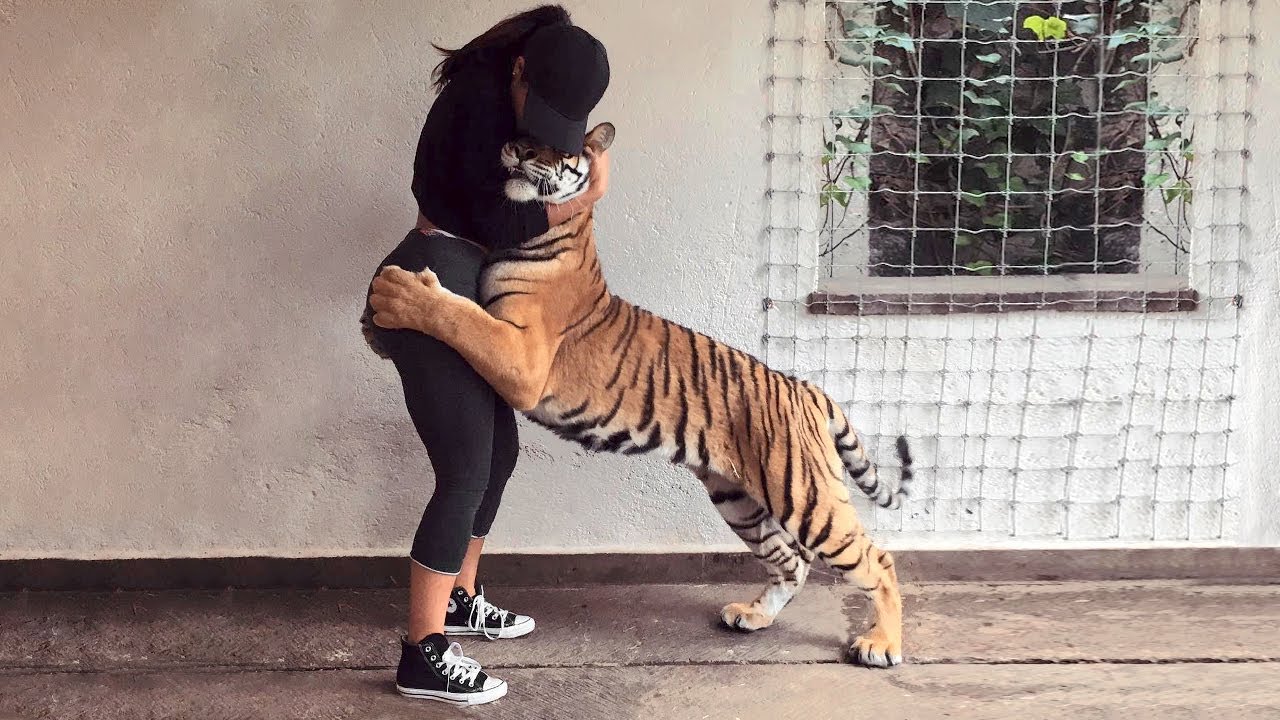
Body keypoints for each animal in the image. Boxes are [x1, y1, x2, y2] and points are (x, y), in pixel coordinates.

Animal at [366, 120, 916, 666]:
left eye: (554, 146)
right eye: (522, 132)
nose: (519, 150)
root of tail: (805, 388)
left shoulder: (523, 358)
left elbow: (458, 315)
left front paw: (398, 293)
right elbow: (462, 313)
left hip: (805, 497)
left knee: (878, 560)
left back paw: (882, 644)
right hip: (738, 498)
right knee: (791, 562)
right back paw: (753, 616)